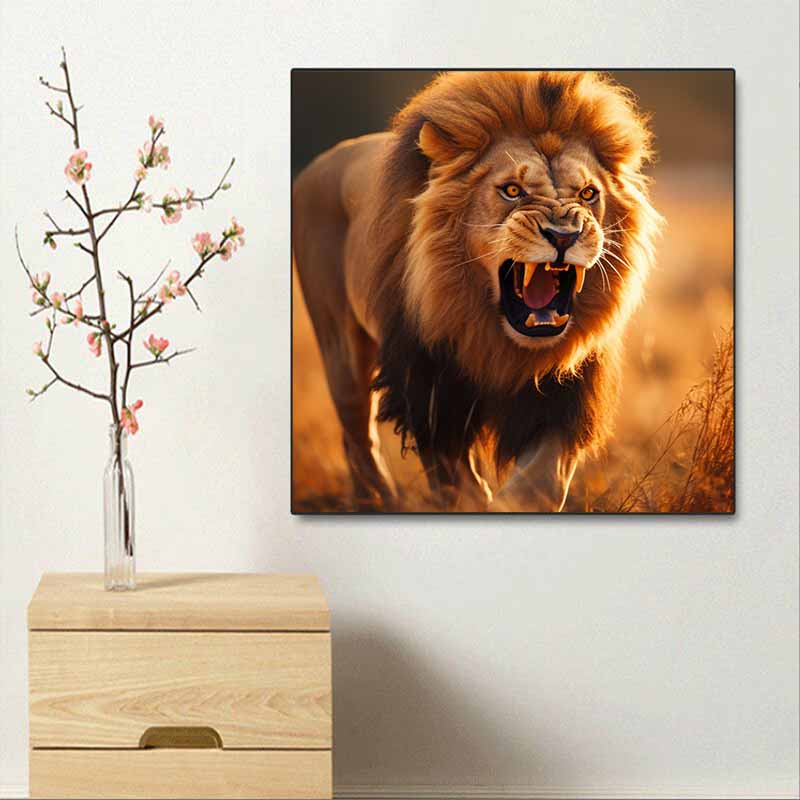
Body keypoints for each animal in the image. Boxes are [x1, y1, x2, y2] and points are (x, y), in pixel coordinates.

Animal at [293, 71, 662, 511]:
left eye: (588, 194)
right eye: (512, 190)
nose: (564, 235)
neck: (501, 342)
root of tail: (324, 160)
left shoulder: (566, 392)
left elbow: (542, 478)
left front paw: (514, 501)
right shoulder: (430, 386)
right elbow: (455, 477)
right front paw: (478, 502)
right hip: (340, 347)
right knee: (357, 432)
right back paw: (377, 500)